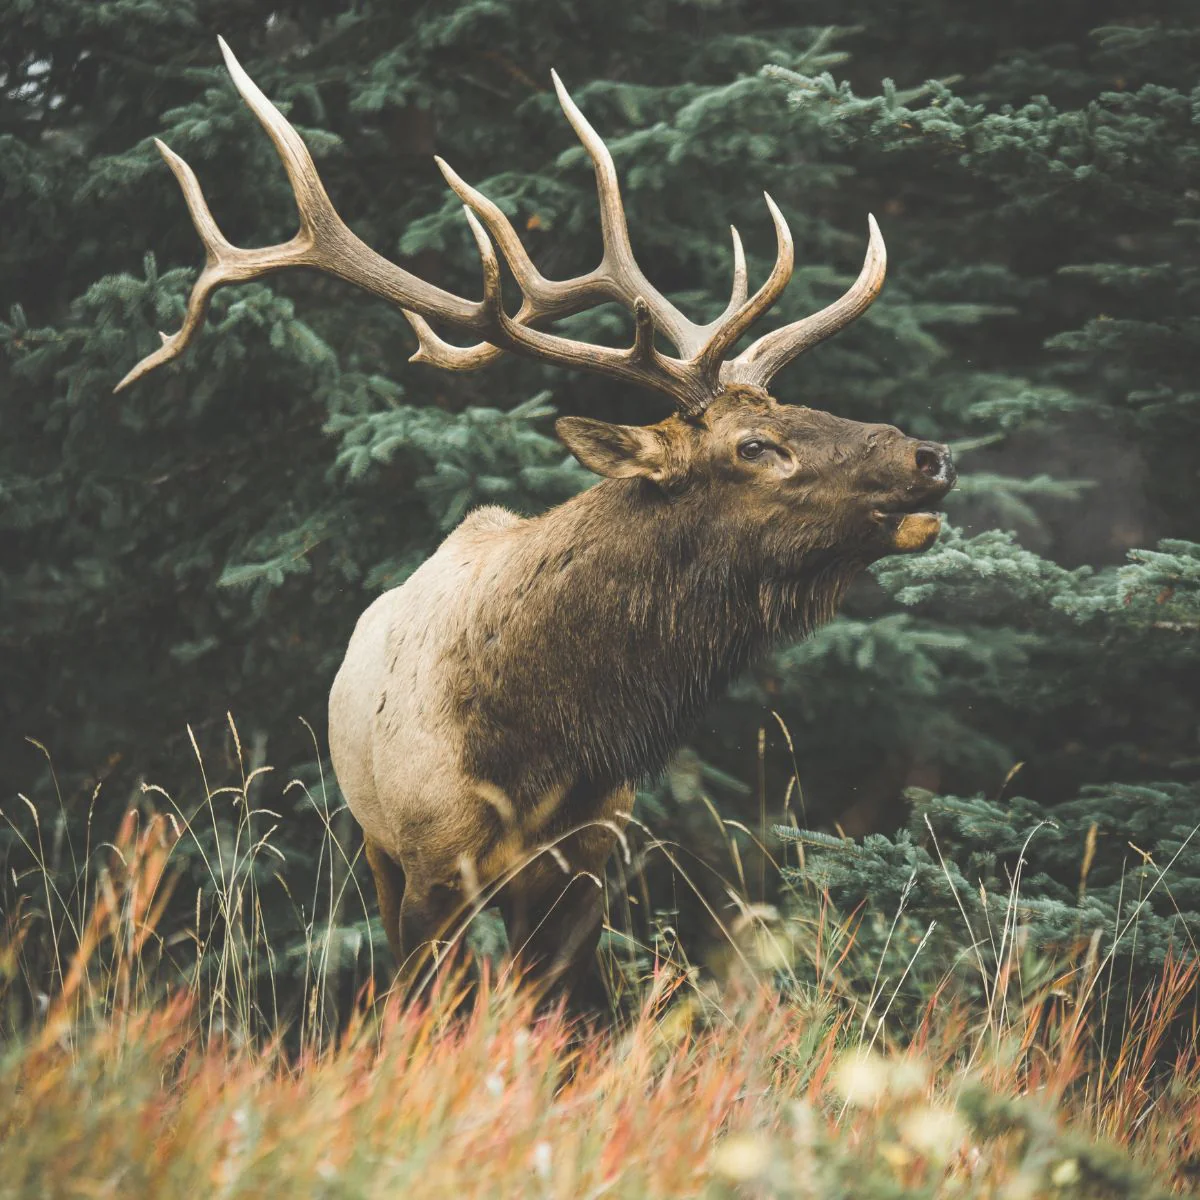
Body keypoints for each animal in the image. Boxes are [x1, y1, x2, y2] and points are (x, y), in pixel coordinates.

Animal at [118, 39, 956, 1004]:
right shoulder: (430, 861)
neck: (543, 747)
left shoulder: (588, 864)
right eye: (754, 445)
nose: (930, 456)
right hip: (372, 843)